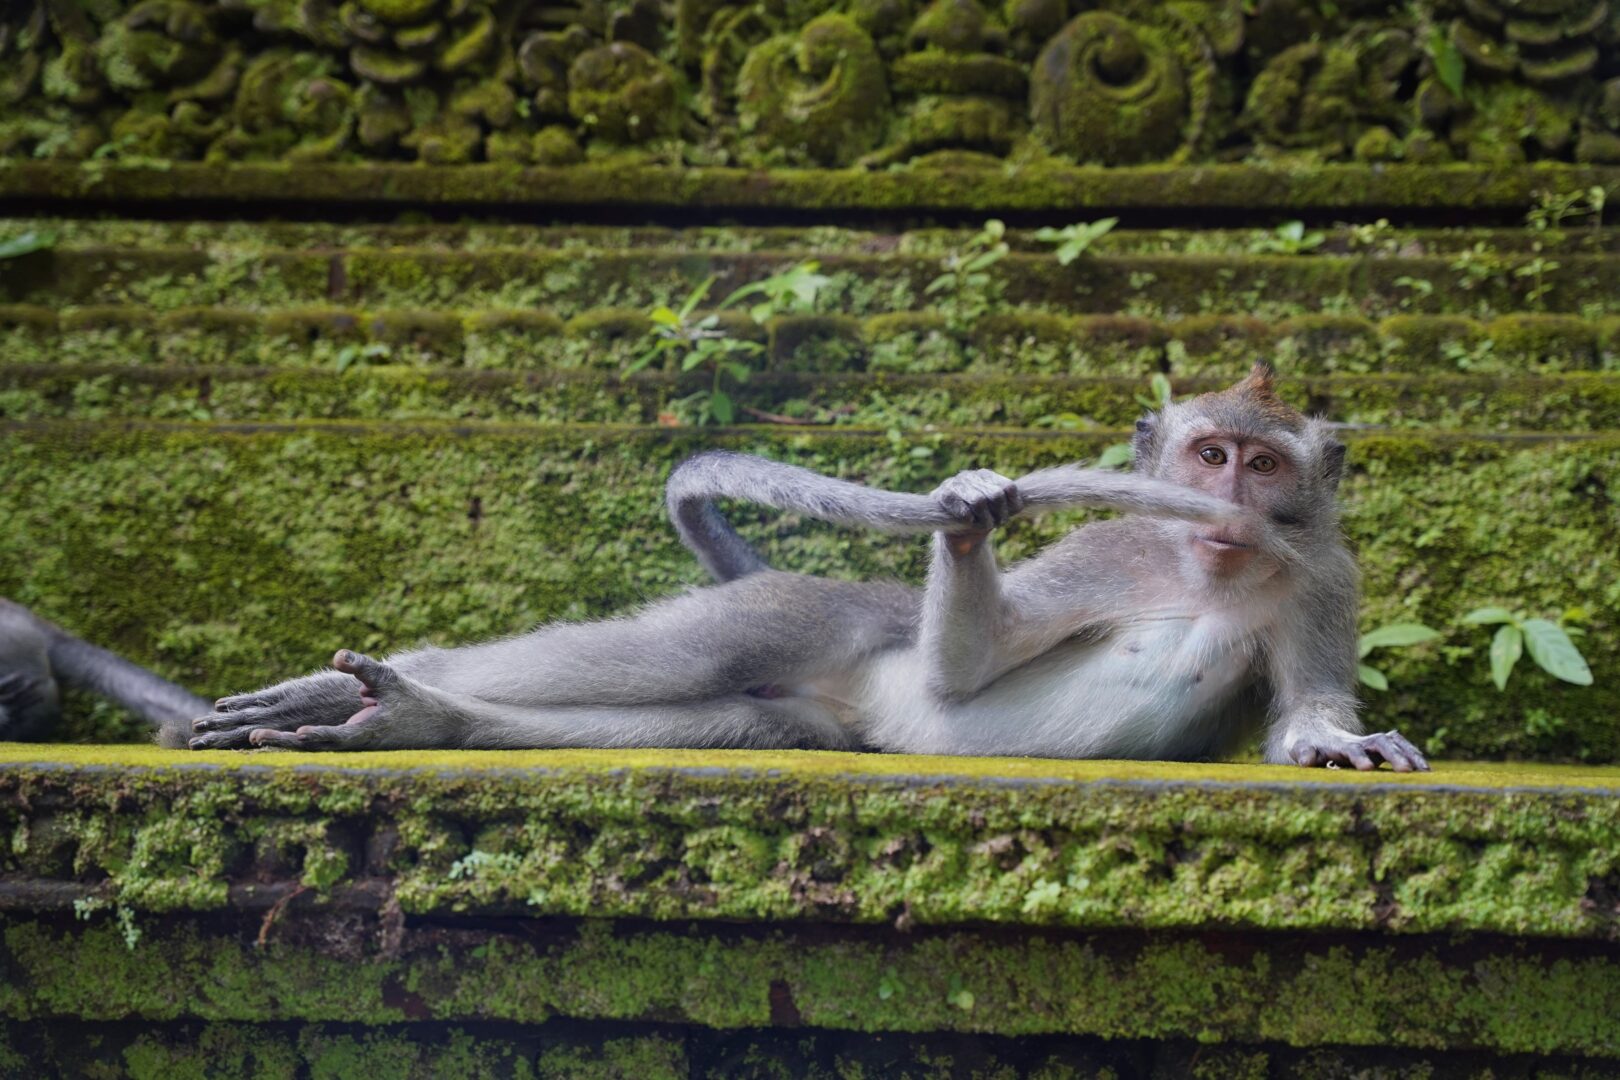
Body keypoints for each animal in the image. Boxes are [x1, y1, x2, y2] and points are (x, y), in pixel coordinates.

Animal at [173, 364, 1427, 771]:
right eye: (1210, 455)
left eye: (1264, 462)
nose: (1232, 505)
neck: (1206, 572)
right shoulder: (1106, 551)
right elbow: (973, 669)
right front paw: (971, 512)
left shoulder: (1326, 577)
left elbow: (1306, 706)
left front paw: (1337, 742)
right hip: (810, 611)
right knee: (683, 655)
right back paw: (375, 690)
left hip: (815, 720)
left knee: (725, 715)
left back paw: (421, 720)